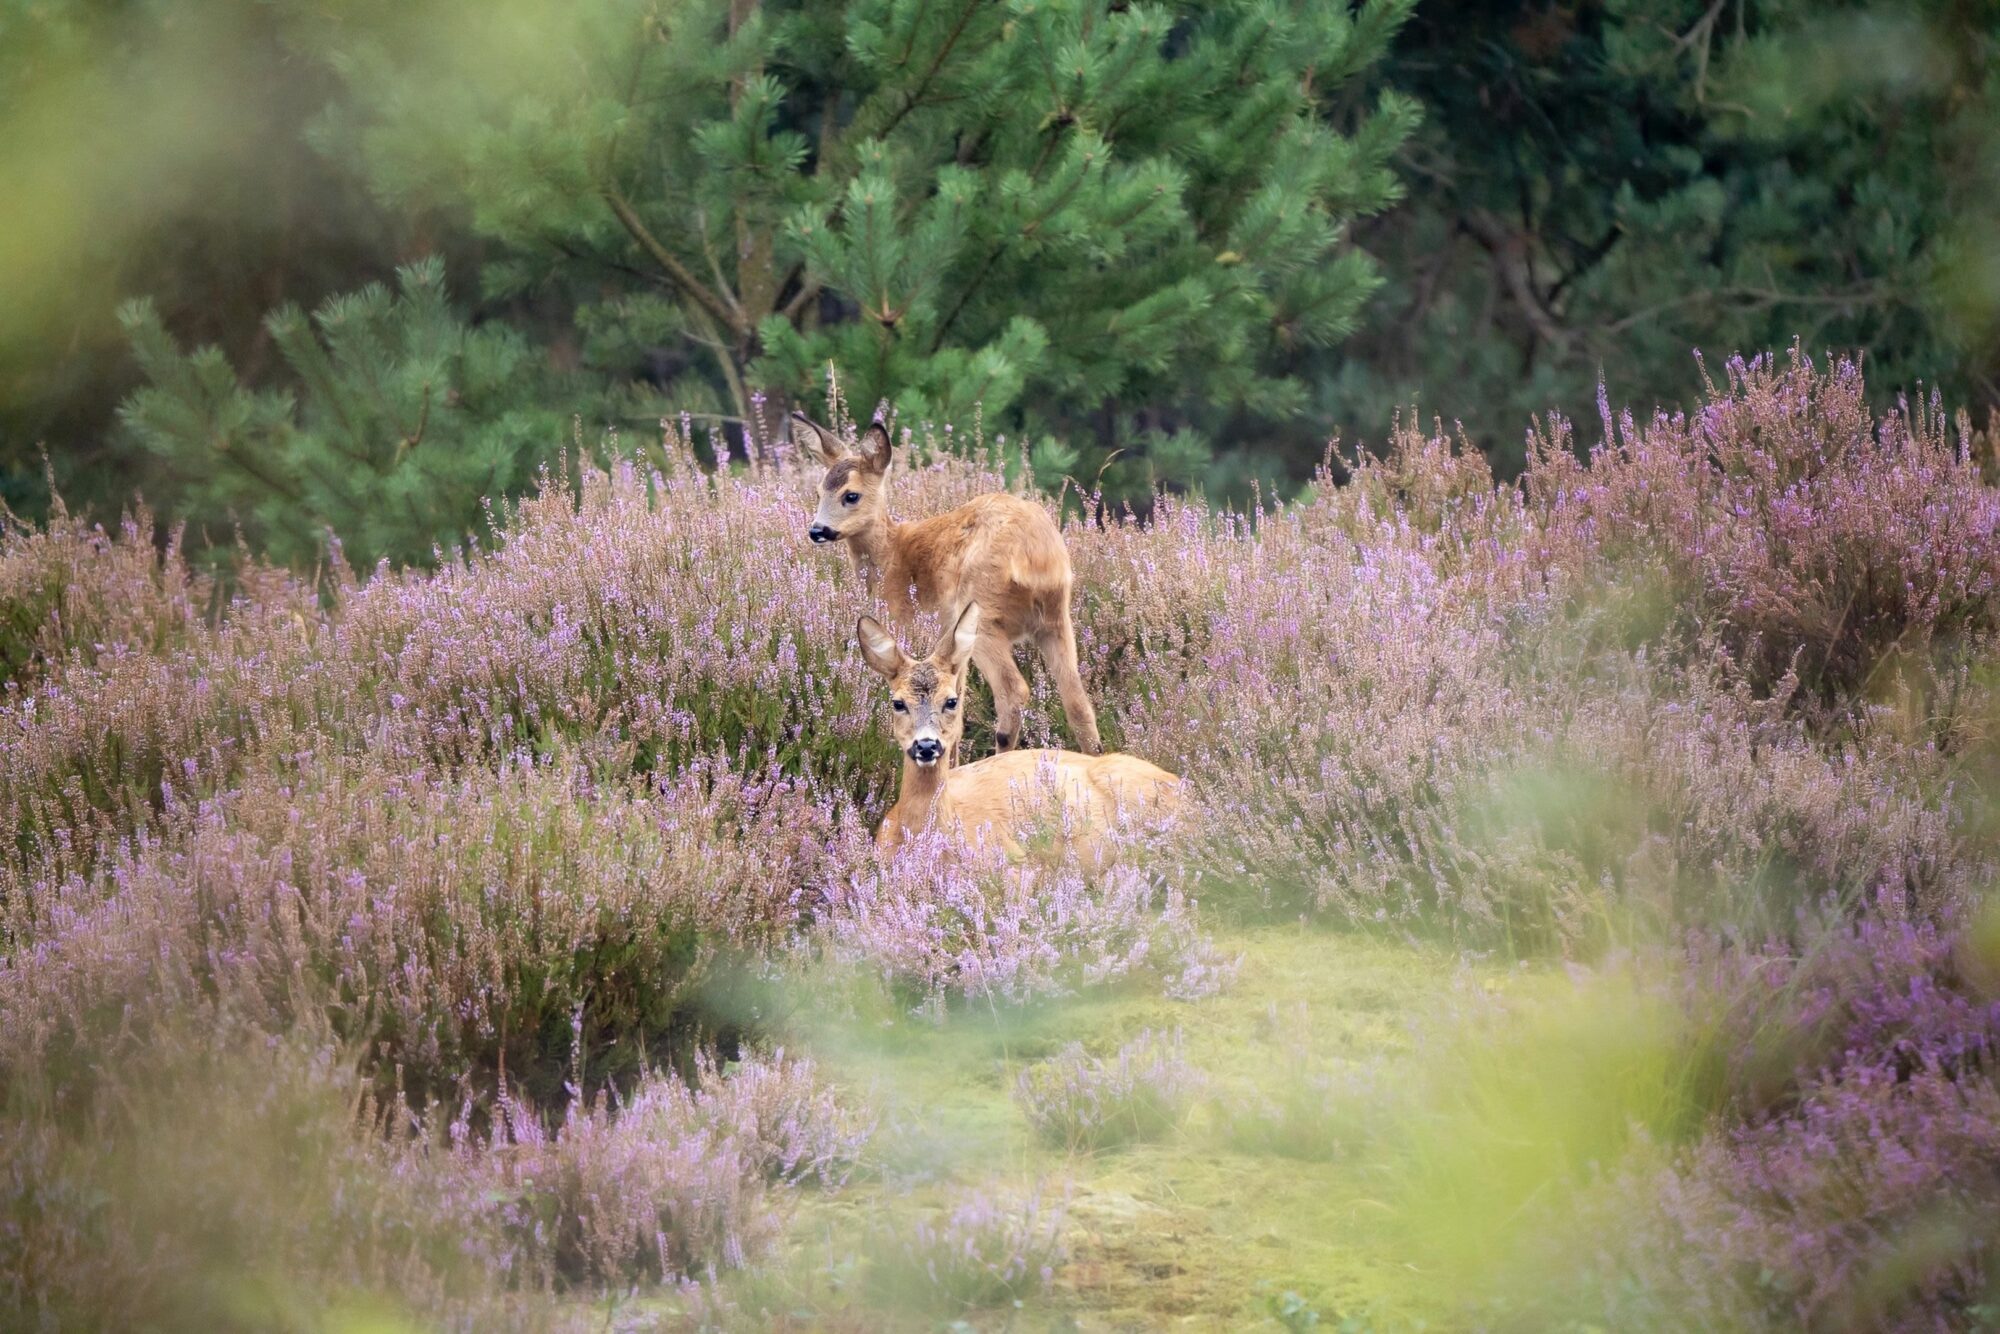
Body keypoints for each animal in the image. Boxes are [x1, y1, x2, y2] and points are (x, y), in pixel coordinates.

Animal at [796, 408, 1104, 756]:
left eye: (851, 495)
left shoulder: (906, 618)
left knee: (1014, 690)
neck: (890, 556)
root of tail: (1035, 555)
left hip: (981, 613)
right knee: (1078, 700)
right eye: (818, 492)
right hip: (1055, 617)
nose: (817, 530)